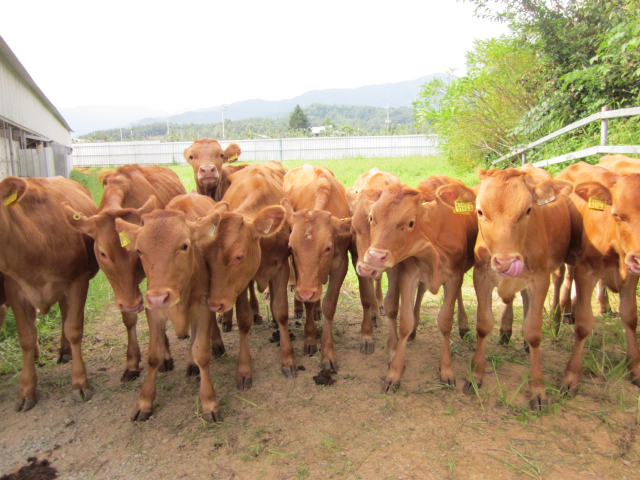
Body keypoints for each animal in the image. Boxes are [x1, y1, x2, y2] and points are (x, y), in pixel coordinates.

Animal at [0, 175, 99, 408]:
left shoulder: (78, 280)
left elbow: (74, 329)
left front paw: (79, 382)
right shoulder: (14, 289)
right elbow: (26, 337)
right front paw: (26, 390)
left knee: (65, 315)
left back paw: (65, 350)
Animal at [63, 163, 185, 380]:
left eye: (137, 250)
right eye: (102, 253)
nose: (131, 304)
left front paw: (165, 355)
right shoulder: (120, 287)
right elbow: (129, 318)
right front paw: (132, 363)